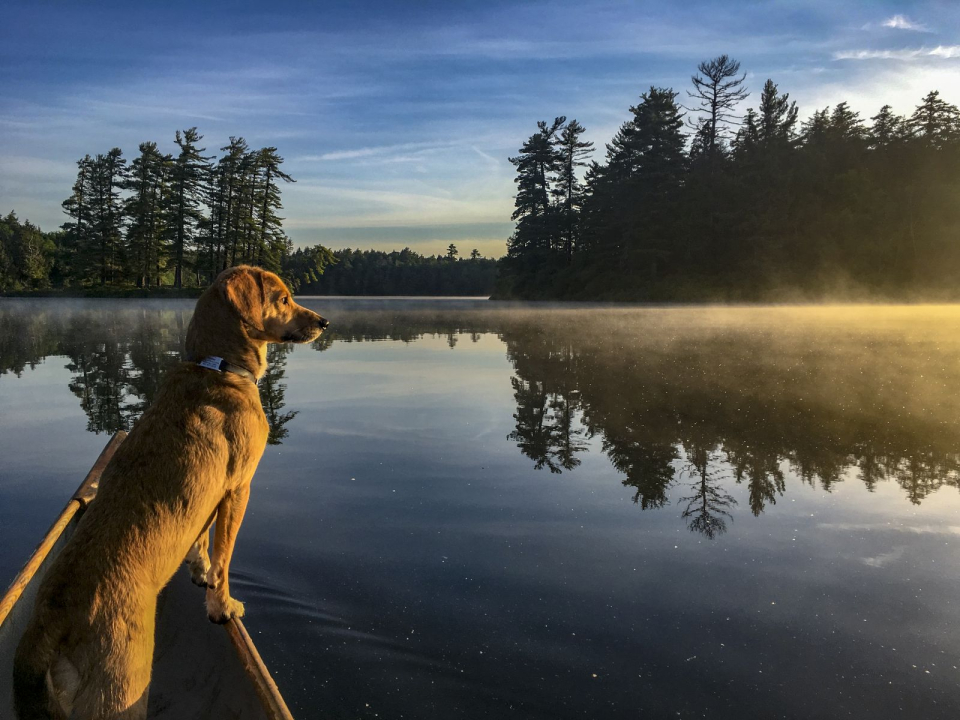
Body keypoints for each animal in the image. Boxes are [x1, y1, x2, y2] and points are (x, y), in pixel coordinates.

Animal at [13, 266, 328, 720]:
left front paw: (198, 570)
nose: (325, 322)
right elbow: (224, 559)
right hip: (118, 693)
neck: (219, 367)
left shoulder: (207, 497)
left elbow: (200, 541)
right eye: (283, 298)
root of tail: (50, 623)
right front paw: (222, 607)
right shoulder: (238, 489)